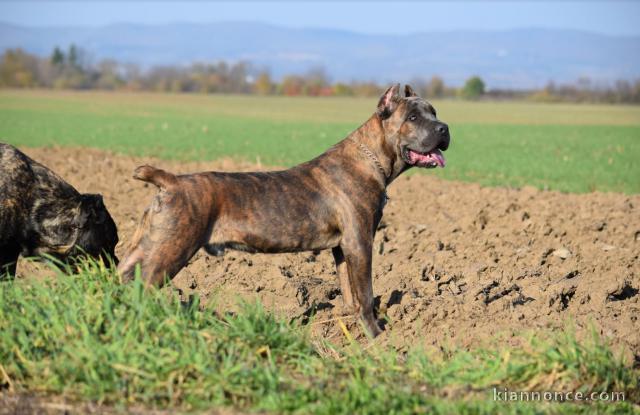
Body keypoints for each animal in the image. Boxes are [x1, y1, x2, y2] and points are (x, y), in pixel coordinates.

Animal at [119, 85, 450, 338]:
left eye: (434, 112)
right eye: (412, 117)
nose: (444, 128)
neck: (371, 159)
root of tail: (170, 181)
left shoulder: (343, 248)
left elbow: (348, 289)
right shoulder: (360, 242)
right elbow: (366, 293)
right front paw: (377, 336)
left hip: (146, 244)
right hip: (172, 249)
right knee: (143, 286)